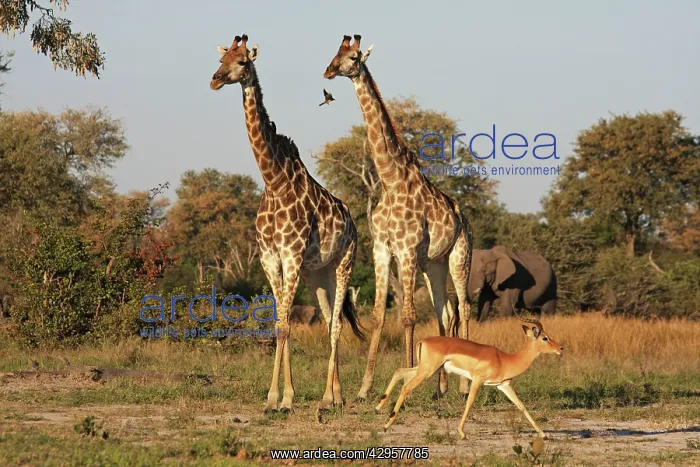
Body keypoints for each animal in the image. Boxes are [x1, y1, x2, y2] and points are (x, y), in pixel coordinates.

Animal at [210, 34, 365, 413]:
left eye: (242, 63)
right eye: (221, 60)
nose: (215, 80)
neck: (274, 180)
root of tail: (353, 223)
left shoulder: (291, 255)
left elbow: (285, 325)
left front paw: (286, 398)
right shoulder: (270, 257)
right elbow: (280, 322)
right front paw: (273, 398)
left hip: (344, 263)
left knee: (337, 325)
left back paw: (329, 398)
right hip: (318, 275)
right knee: (330, 318)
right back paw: (335, 395)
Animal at [324, 35, 474, 401]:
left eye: (353, 57)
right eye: (334, 52)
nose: (329, 71)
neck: (390, 179)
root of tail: (463, 217)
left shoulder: (406, 249)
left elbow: (407, 316)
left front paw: (404, 379)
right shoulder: (382, 248)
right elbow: (380, 315)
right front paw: (364, 389)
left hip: (459, 256)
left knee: (464, 308)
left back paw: (464, 387)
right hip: (433, 264)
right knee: (445, 311)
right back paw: (440, 388)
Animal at [375, 311, 563, 439]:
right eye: (545, 338)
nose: (560, 348)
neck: (505, 360)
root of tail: (423, 340)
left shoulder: (504, 385)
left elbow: (521, 406)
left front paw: (543, 434)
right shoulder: (477, 380)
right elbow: (469, 402)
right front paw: (462, 432)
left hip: (427, 369)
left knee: (399, 371)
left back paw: (378, 408)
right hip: (427, 371)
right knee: (406, 387)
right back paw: (386, 425)